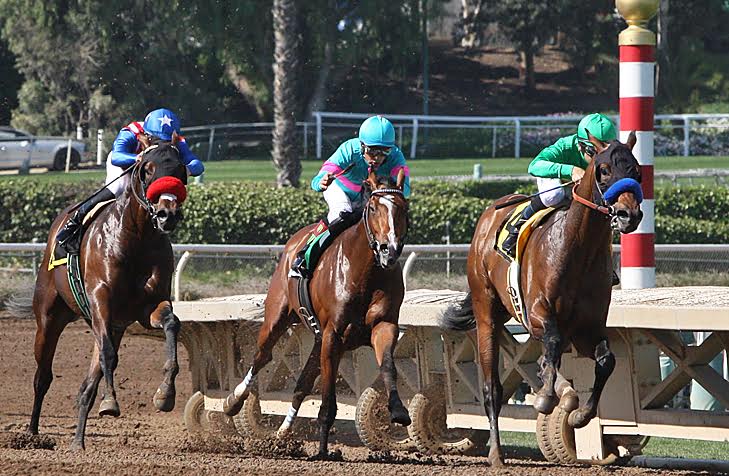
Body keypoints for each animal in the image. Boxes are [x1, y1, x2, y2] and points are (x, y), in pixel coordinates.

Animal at [29, 135, 188, 450]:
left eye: (179, 169)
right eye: (147, 169)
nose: (167, 214)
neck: (136, 238)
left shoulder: (146, 307)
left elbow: (170, 324)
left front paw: (165, 394)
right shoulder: (100, 300)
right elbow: (109, 356)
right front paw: (111, 403)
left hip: (112, 325)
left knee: (86, 385)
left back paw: (78, 443)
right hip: (49, 316)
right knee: (43, 376)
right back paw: (32, 433)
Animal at [222, 170, 410, 458]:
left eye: (403, 208)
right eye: (373, 208)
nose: (389, 249)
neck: (365, 273)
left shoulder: (382, 326)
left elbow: (388, 364)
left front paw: (399, 410)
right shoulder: (333, 335)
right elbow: (328, 397)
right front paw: (323, 450)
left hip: (318, 339)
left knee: (302, 384)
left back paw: (281, 436)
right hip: (278, 317)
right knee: (262, 356)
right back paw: (235, 400)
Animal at [438, 132, 644, 466]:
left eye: (637, 172)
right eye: (603, 170)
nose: (629, 215)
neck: (577, 251)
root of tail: (490, 212)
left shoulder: (586, 330)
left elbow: (605, 361)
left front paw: (579, 414)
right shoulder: (537, 316)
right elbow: (553, 346)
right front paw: (547, 397)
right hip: (486, 314)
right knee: (492, 387)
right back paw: (497, 453)